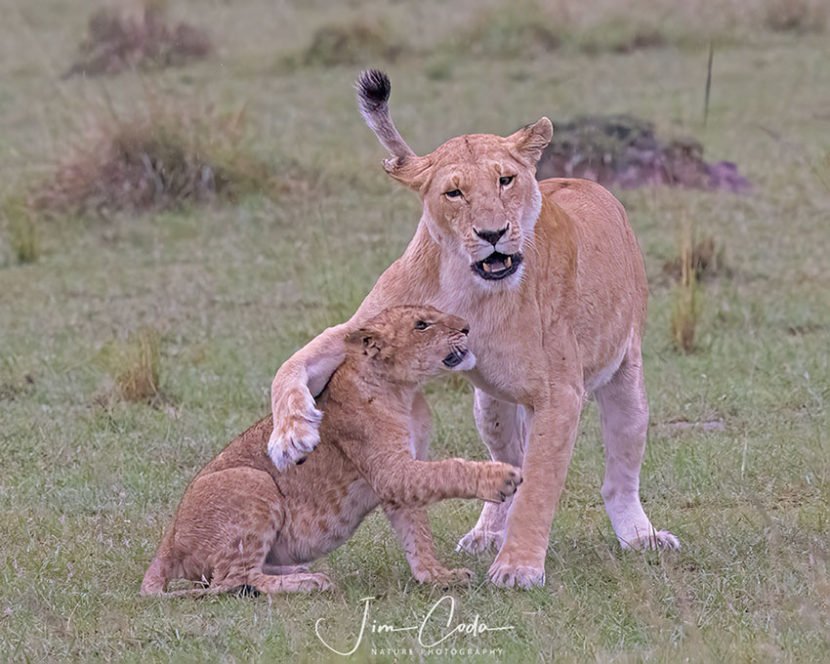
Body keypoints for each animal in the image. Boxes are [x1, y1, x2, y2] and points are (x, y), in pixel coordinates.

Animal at [141, 305, 522, 596]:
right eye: (422, 325)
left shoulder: (397, 483)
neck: (403, 391)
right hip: (252, 481)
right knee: (231, 581)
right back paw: (308, 581)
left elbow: (417, 535)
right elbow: (448, 471)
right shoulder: (393, 471)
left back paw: (297, 571)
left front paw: (437, 577)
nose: (467, 327)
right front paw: (501, 477)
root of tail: (168, 542)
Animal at [266, 70, 679, 590]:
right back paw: (486, 533)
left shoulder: (559, 393)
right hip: (491, 407)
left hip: (626, 381)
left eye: (506, 180)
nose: (492, 234)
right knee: (509, 458)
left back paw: (640, 536)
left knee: (619, 475)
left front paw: (519, 567)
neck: (469, 284)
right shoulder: (358, 331)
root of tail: (585, 181)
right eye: (454, 193)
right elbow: (288, 367)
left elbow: (539, 484)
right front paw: (290, 436)